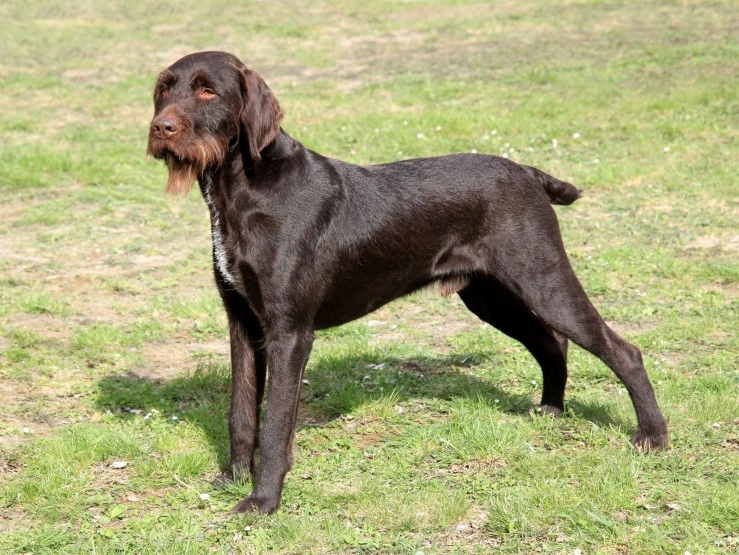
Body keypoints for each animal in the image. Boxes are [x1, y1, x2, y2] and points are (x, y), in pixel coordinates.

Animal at [147, 52, 668, 516]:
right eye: (163, 89)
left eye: (208, 90)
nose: (160, 128)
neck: (243, 189)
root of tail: (527, 173)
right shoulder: (243, 322)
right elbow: (241, 412)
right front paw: (233, 478)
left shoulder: (289, 332)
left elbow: (275, 425)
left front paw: (262, 501)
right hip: (491, 296)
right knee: (553, 343)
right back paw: (550, 409)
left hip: (542, 278)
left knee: (621, 350)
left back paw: (653, 435)